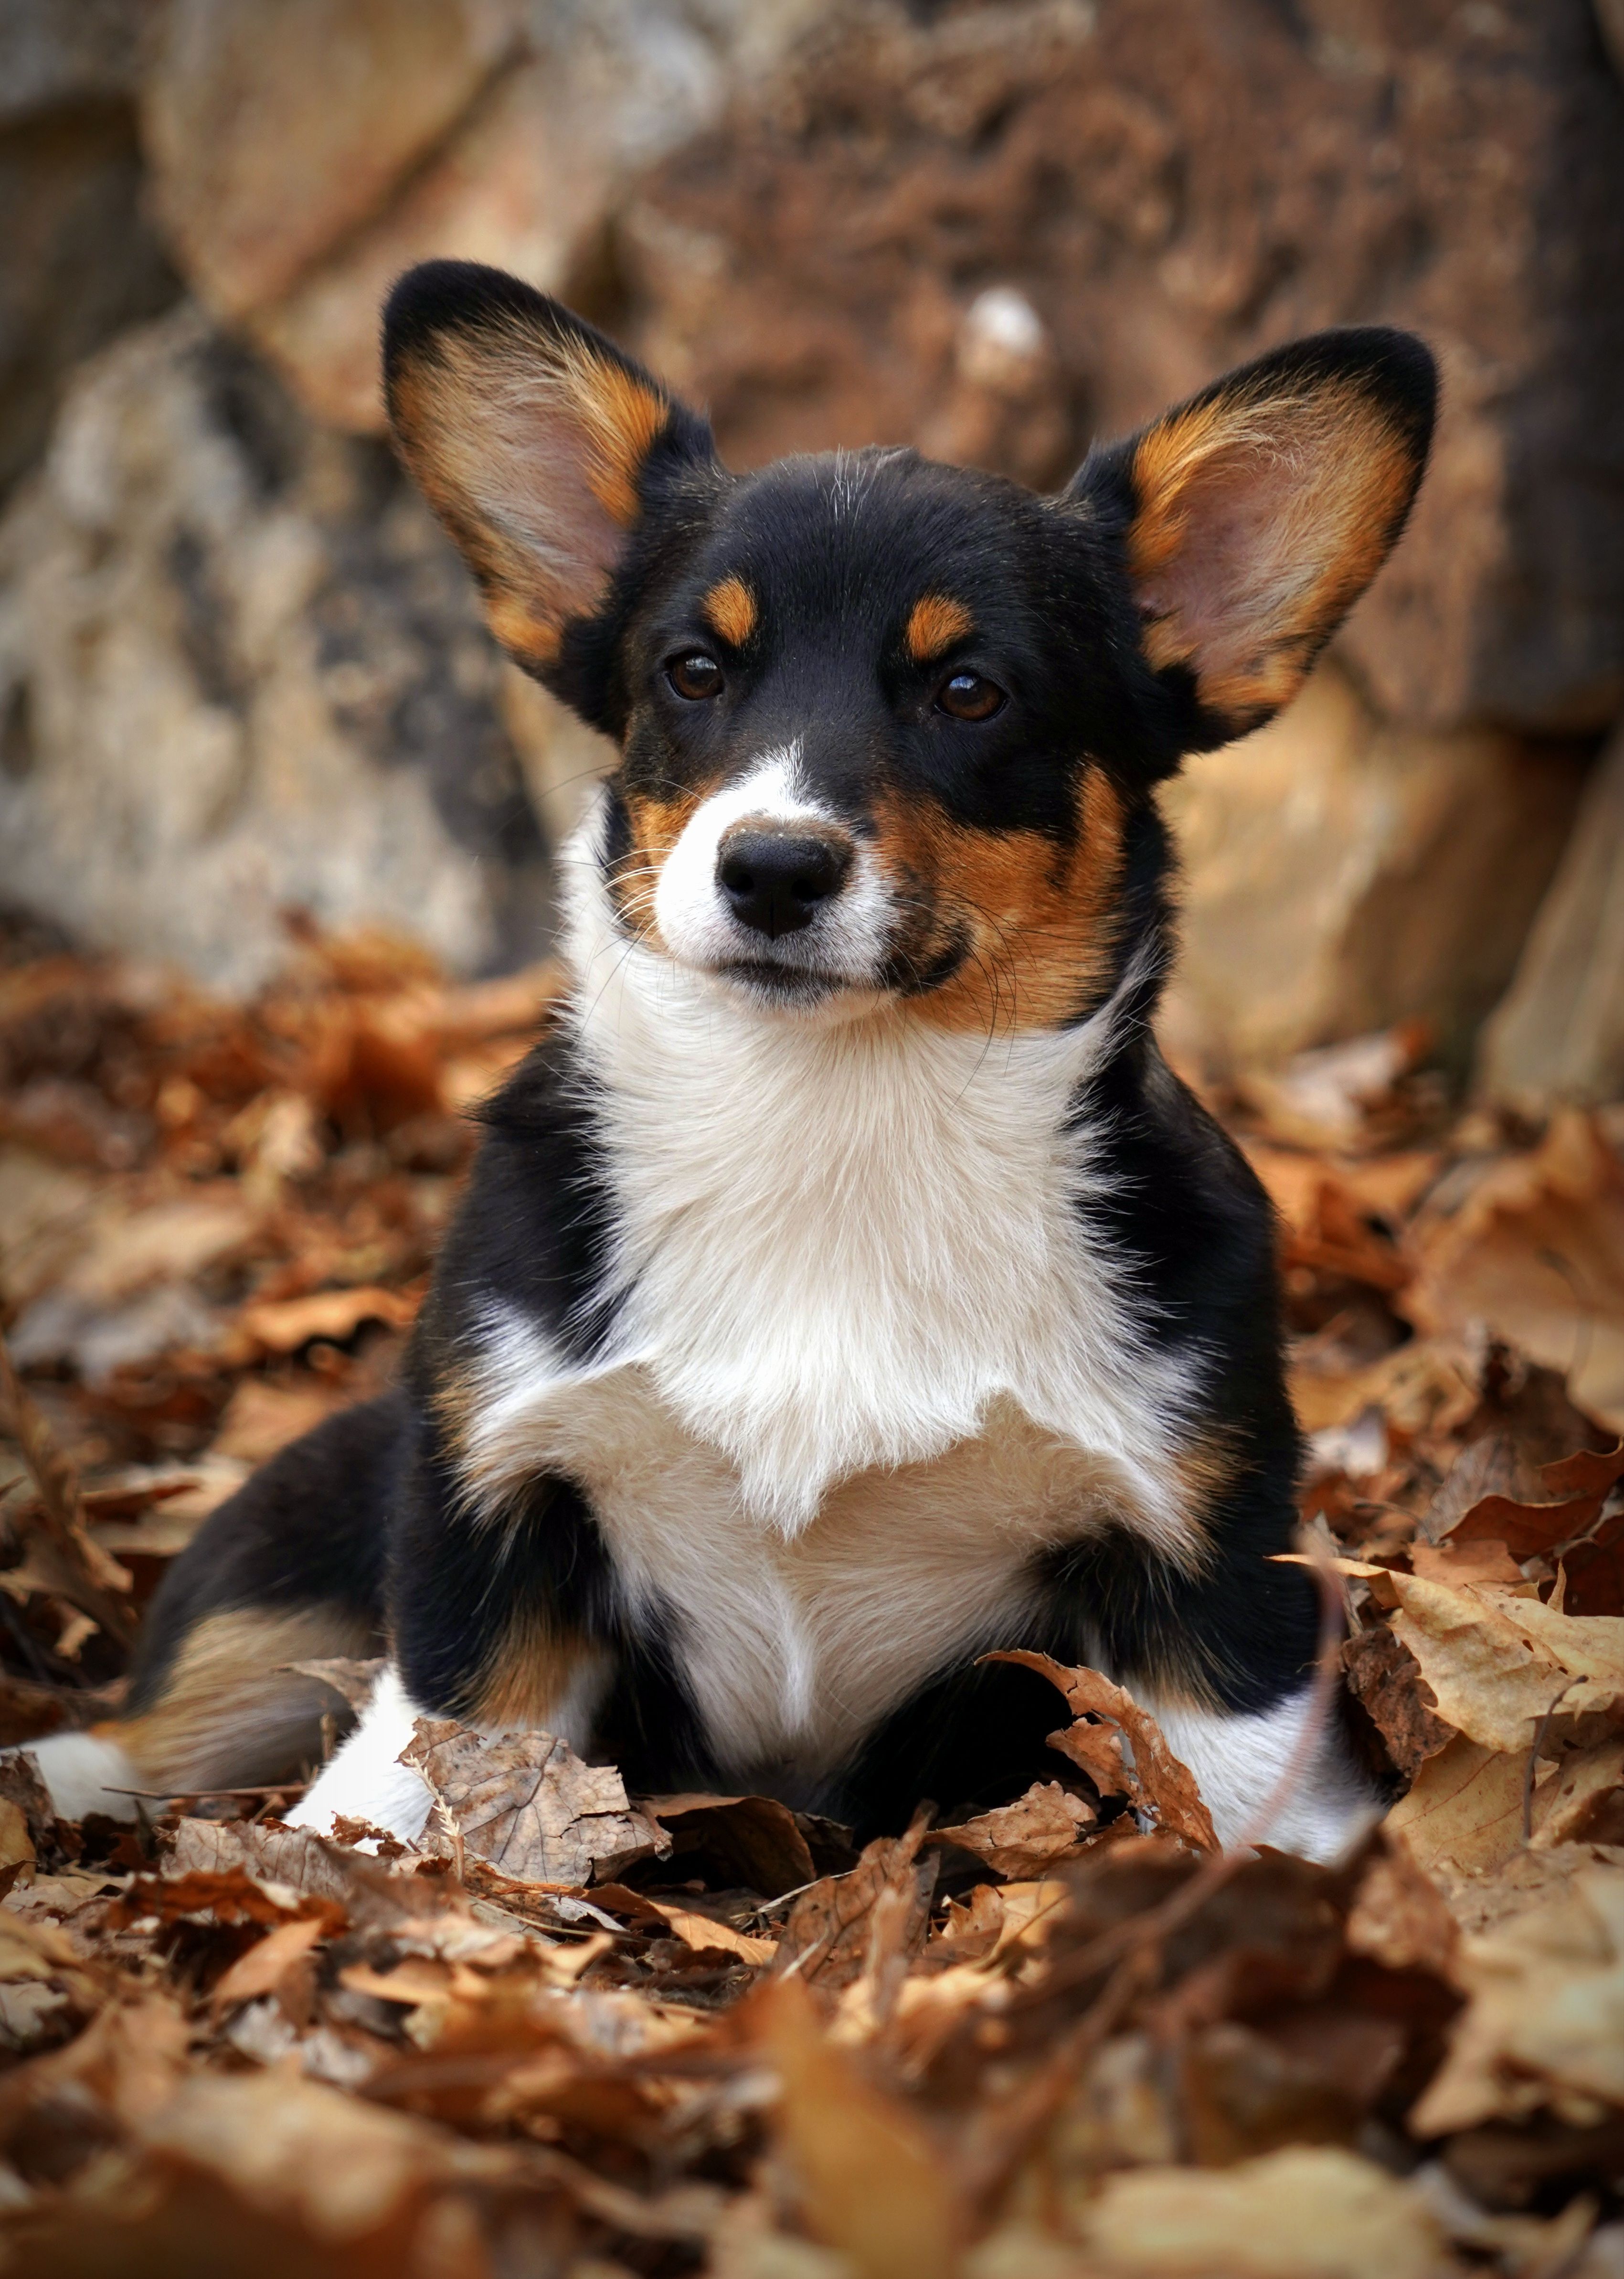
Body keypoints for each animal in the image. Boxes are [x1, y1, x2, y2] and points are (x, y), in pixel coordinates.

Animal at [25, 271, 1430, 1869]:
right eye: (692, 671)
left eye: (969, 691)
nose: (771, 867)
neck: (829, 1113)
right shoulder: (492, 1505)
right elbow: (427, 1751)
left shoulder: (1205, 1565)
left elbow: (1253, 1800)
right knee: (149, 1730)